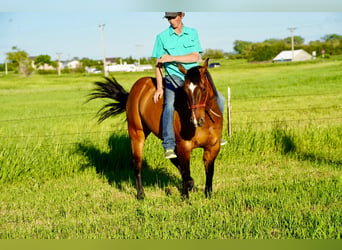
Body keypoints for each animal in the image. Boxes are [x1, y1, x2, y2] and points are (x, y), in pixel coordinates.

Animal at [89, 58, 222, 199]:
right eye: (185, 91)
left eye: (203, 88)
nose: (196, 120)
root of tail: (137, 87)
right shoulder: (184, 146)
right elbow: (186, 171)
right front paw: (185, 198)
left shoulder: (213, 147)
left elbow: (209, 171)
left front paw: (208, 194)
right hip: (137, 133)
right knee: (137, 163)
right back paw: (140, 194)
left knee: (173, 159)